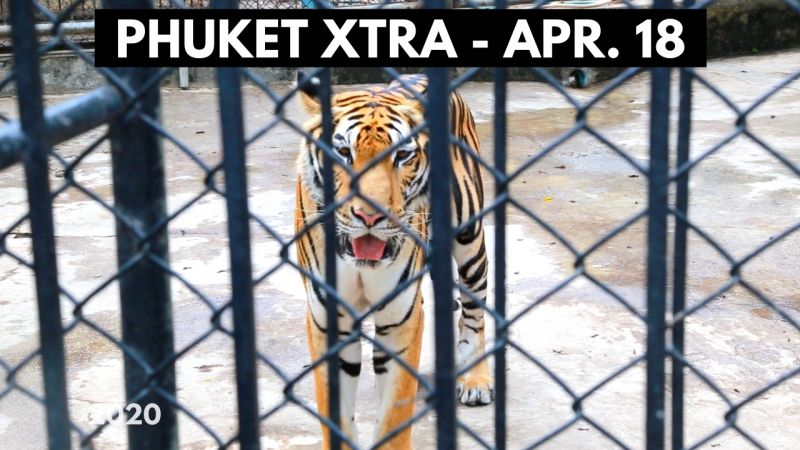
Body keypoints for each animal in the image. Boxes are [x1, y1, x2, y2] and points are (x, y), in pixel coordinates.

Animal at [294, 71, 493, 449]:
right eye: (343, 152)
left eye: (402, 155)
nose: (370, 216)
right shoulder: (327, 319)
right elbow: (334, 411)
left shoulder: (401, 318)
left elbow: (395, 415)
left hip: (469, 237)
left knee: (475, 313)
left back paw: (475, 380)